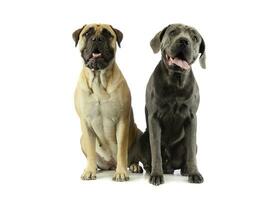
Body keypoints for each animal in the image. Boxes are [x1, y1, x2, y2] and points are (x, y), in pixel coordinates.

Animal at [72, 23, 142, 181]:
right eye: (87, 33)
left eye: (107, 34)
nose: (97, 38)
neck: (98, 79)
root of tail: (111, 164)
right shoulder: (85, 122)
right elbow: (91, 150)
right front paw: (89, 171)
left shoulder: (122, 120)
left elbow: (122, 150)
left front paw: (121, 172)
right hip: (81, 139)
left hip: (139, 132)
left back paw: (133, 166)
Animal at [144, 24, 206, 185]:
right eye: (173, 32)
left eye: (195, 37)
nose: (184, 41)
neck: (175, 82)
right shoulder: (154, 118)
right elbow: (156, 151)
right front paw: (156, 175)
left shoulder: (191, 118)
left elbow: (191, 152)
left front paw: (194, 173)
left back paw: (185, 170)